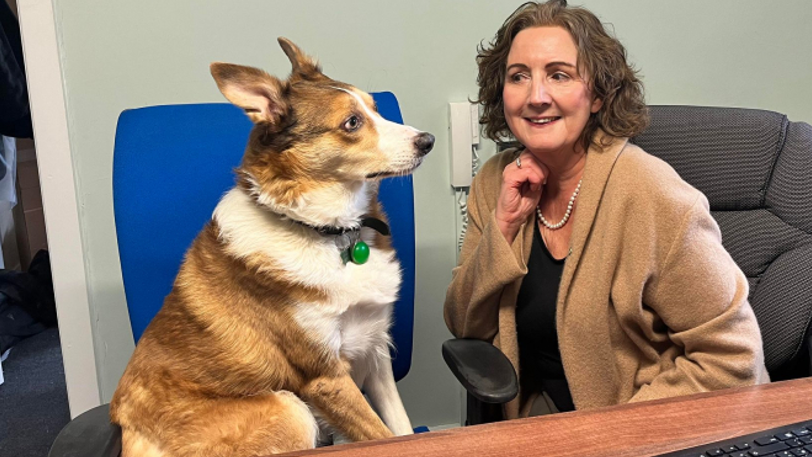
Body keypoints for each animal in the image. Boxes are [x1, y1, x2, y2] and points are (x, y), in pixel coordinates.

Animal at [112, 38, 438, 456]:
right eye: (351, 123)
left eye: (376, 109)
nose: (428, 141)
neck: (327, 231)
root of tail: (129, 433)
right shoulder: (325, 378)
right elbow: (381, 435)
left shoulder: (375, 350)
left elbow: (402, 429)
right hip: (289, 408)